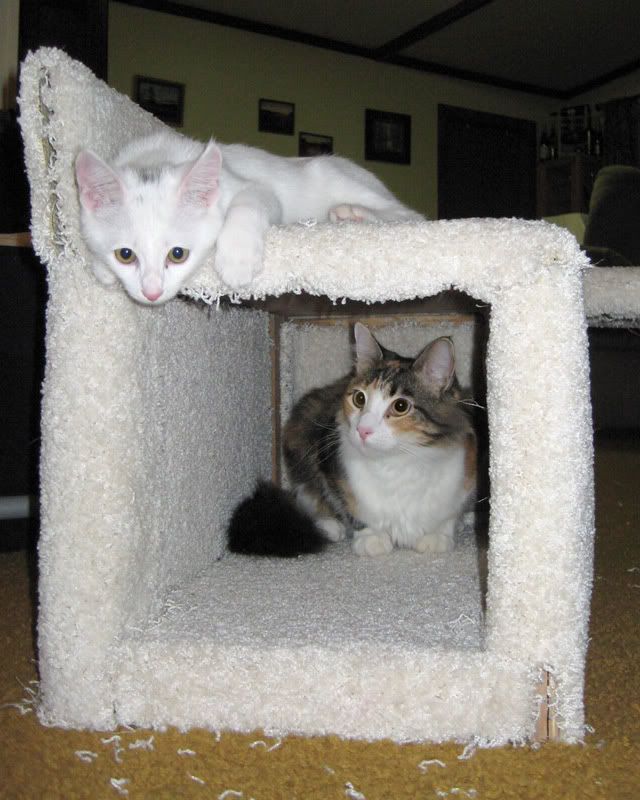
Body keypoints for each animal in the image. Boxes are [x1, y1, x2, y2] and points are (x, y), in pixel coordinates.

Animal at [75, 131, 423, 305]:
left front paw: (237, 260)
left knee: (408, 214)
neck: (157, 157)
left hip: (334, 175)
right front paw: (103, 270)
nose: (151, 293)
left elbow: (250, 202)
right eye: (125, 255)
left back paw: (353, 213)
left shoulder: (247, 186)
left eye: (177, 254)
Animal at [227, 323, 477, 558]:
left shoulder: (467, 470)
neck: (397, 462)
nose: (362, 429)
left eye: (400, 406)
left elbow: (449, 512)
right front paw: (371, 537)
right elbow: (353, 507)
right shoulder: (332, 465)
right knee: (308, 491)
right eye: (359, 399)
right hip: (302, 430)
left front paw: (438, 535)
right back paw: (328, 525)